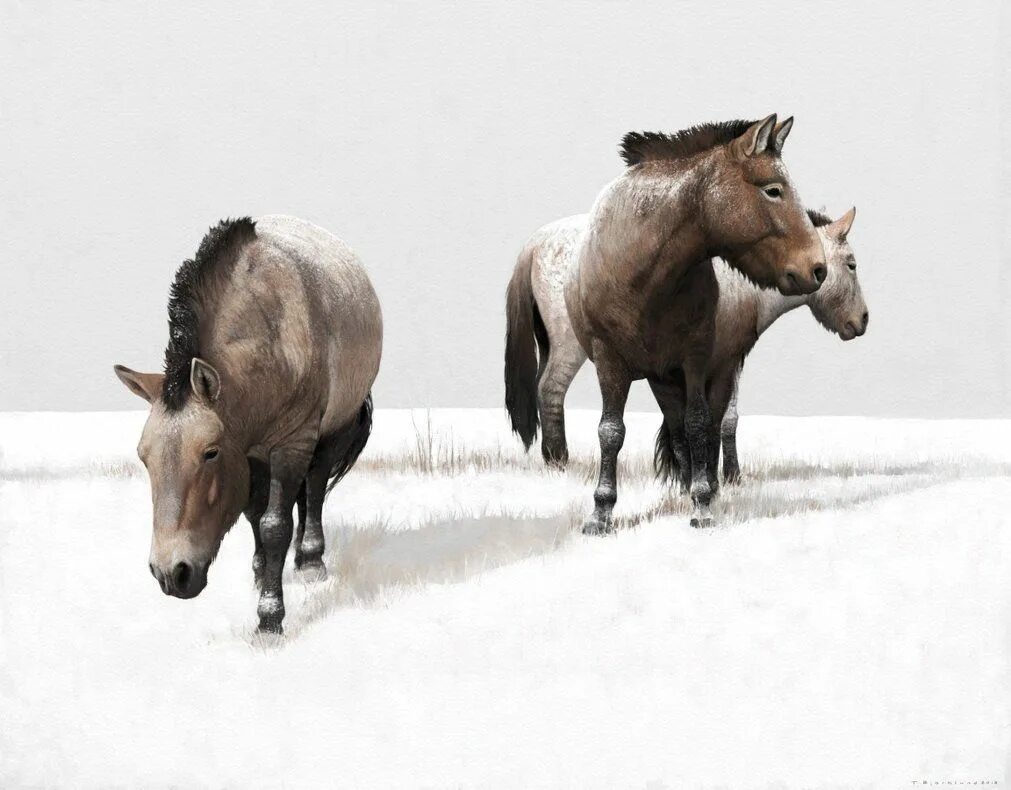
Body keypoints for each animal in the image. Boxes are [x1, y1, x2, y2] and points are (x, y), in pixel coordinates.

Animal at [114, 215, 382, 634]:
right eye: (144, 457)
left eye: (209, 453)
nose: (171, 574)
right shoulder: (248, 451)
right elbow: (255, 514)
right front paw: (260, 576)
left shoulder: (292, 443)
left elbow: (274, 525)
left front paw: (270, 617)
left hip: (328, 432)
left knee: (315, 486)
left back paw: (310, 560)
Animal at [504, 207, 866, 491]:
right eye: (852, 264)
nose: (862, 320)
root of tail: (536, 242)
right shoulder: (722, 361)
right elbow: (711, 421)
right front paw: (708, 480)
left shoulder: (715, 363)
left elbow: (713, 421)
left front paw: (713, 477)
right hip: (570, 346)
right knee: (550, 389)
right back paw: (560, 463)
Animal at [514, 115, 827, 532]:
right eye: (773, 190)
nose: (818, 268)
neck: (645, 270)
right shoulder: (609, 361)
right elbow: (610, 431)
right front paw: (601, 511)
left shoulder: (693, 360)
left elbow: (696, 424)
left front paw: (702, 503)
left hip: (664, 376)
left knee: (681, 426)